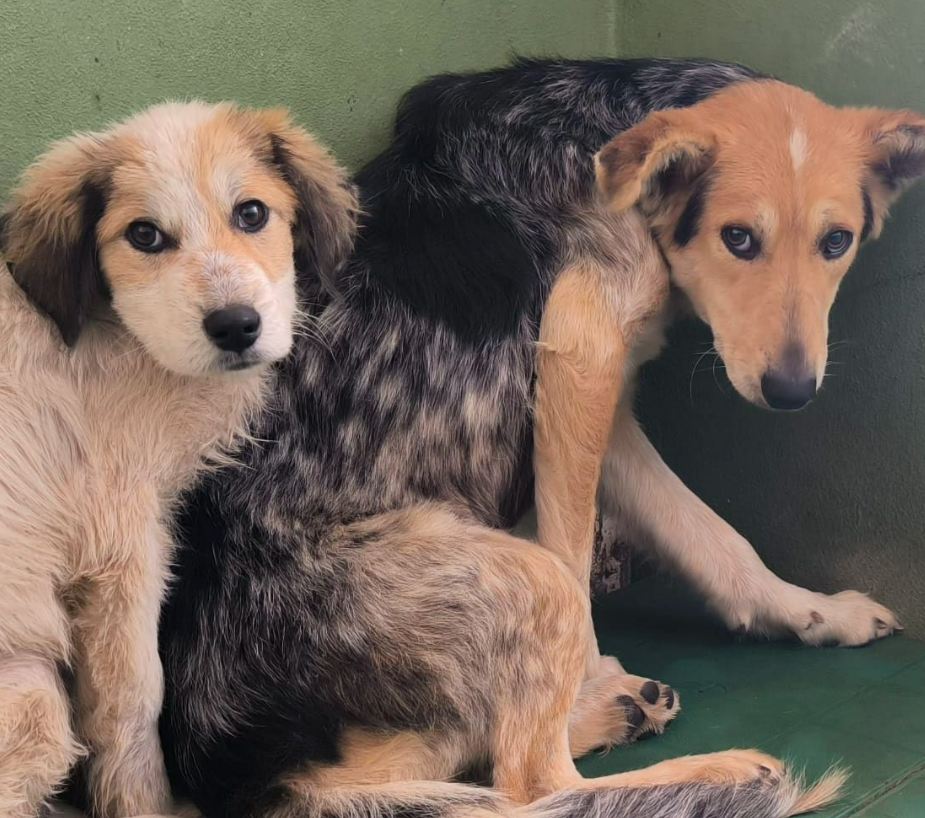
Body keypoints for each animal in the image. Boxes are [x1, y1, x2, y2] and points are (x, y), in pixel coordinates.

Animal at [0, 101, 354, 817]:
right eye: (144, 235)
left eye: (252, 213)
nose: (237, 326)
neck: (120, 342)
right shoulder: (123, 550)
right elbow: (132, 705)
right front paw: (145, 804)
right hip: (32, 700)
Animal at [153, 56, 925, 817]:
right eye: (737, 238)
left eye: (836, 242)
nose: (794, 392)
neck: (605, 135)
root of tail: (239, 776)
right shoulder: (580, 359)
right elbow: (582, 560)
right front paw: (593, 681)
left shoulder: (606, 415)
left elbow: (712, 538)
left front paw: (813, 613)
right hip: (526, 578)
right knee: (532, 783)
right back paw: (712, 769)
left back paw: (617, 715)